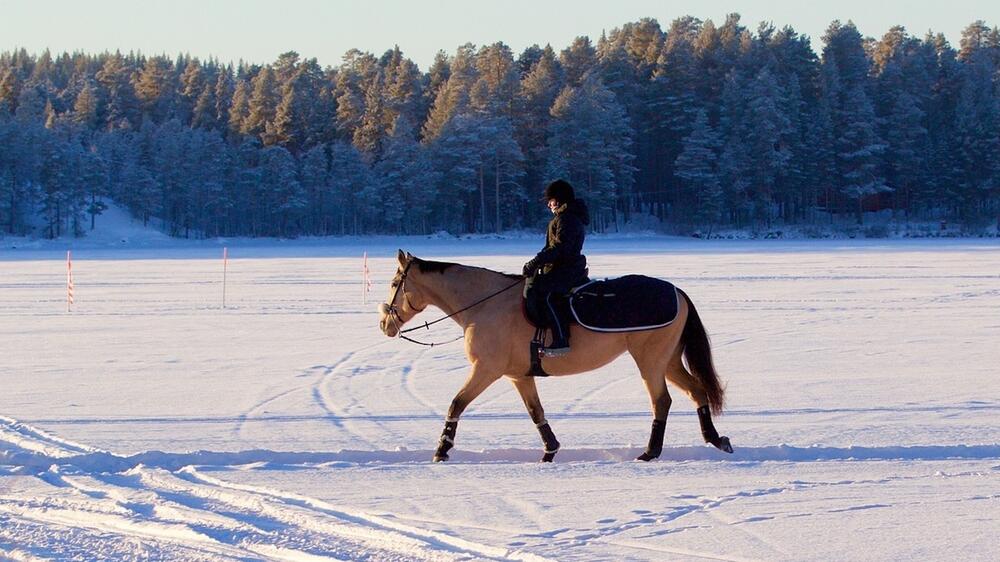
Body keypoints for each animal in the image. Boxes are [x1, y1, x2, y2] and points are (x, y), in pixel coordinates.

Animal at [378, 249, 732, 460]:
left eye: (395, 282)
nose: (385, 325)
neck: (484, 306)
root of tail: (676, 291)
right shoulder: (518, 376)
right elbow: (536, 412)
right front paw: (550, 450)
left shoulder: (486, 370)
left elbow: (456, 404)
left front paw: (442, 449)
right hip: (668, 360)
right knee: (696, 391)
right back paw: (716, 439)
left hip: (650, 360)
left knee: (662, 401)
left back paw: (650, 451)